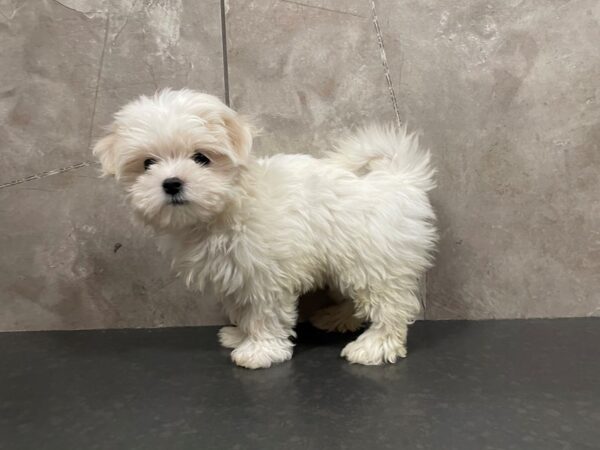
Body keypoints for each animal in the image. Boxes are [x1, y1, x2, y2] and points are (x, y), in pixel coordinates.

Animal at [96, 89, 438, 370]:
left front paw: (259, 351)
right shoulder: (235, 274)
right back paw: (337, 317)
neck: (227, 207)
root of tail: (398, 179)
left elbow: (264, 314)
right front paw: (240, 335)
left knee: (390, 306)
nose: (171, 183)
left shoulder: (265, 276)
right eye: (147, 163)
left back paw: (374, 346)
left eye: (201, 158)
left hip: (375, 261)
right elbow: (243, 310)